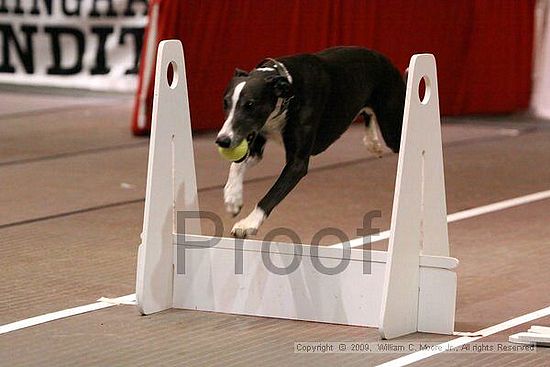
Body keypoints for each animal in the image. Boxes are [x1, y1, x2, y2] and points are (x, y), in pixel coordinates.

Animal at [218, 46, 408, 239]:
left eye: (250, 104)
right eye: (225, 102)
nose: (222, 140)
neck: (287, 92)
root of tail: (384, 59)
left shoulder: (297, 164)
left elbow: (271, 195)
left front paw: (248, 223)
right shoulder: (257, 142)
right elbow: (237, 165)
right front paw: (233, 199)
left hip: (392, 127)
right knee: (368, 113)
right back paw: (372, 142)